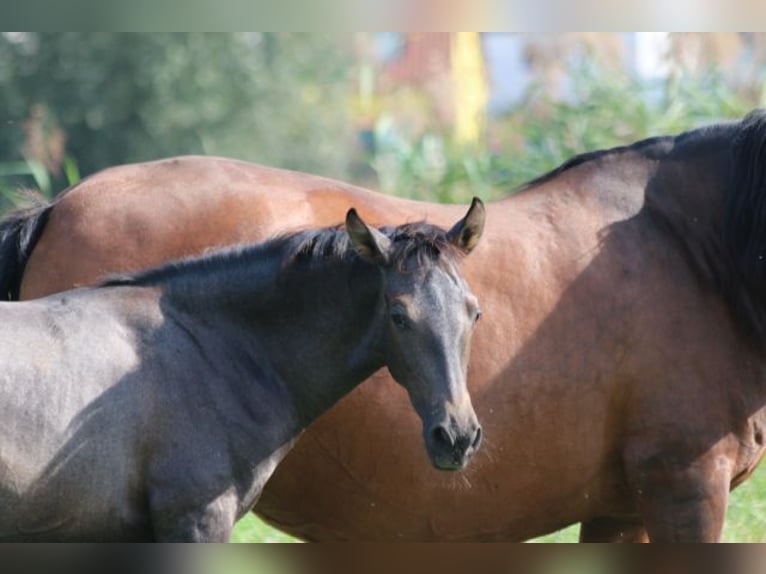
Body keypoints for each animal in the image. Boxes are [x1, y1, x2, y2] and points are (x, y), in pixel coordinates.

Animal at [4, 109, 766, 544]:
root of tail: (58, 206)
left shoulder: (621, 509)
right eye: (396, 317)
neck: (692, 250)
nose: (458, 434)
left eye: (477, 314)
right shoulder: (683, 488)